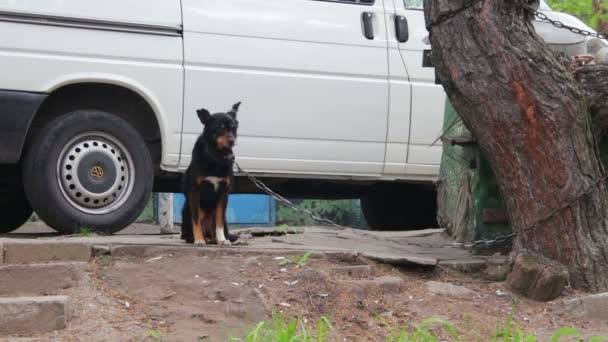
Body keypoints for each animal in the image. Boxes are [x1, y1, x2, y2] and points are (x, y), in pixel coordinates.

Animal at [179, 102, 241, 246]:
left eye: (233, 128)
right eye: (220, 128)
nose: (232, 141)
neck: (215, 157)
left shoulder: (223, 194)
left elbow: (219, 222)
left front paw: (222, 240)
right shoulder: (195, 192)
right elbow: (196, 219)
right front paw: (199, 239)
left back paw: (215, 239)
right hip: (189, 209)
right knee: (189, 232)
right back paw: (201, 238)